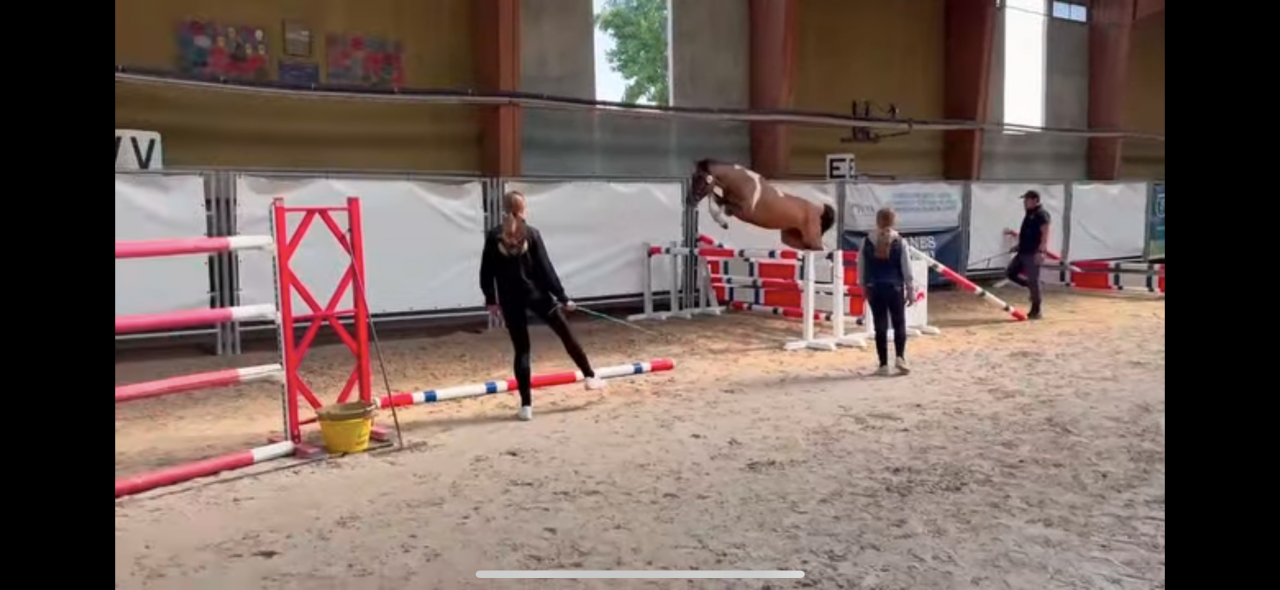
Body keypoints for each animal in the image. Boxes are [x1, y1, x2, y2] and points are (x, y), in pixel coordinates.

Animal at [689, 159, 836, 251]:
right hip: (792, 239)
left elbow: (722, 206)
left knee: (821, 250)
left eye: (701, 178)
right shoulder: (726, 201)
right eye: (693, 177)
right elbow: (714, 200)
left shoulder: (744, 211)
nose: (690, 199)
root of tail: (818, 209)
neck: (742, 182)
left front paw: (723, 222)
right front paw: (722, 223)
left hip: (812, 238)